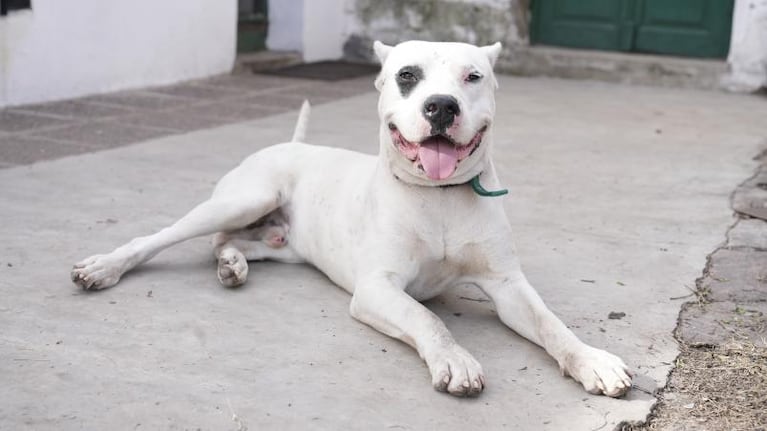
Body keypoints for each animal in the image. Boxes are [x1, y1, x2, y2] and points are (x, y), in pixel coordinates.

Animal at [73, 40, 636, 398]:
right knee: (165, 236)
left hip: (283, 242)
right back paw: (104, 267)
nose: (441, 106)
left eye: (473, 76)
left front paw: (592, 360)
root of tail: (292, 144)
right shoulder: (377, 288)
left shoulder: (507, 286)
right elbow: (428, 319)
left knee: (229, 241)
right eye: (407, 75)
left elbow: (552, 325)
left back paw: (233, 266)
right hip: (245, 197)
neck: (439, 197)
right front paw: (454, 359)